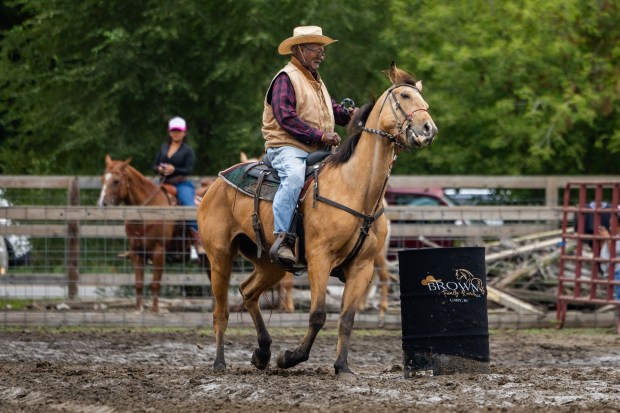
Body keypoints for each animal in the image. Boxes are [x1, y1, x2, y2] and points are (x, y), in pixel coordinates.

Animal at [95, 154, 205, 312]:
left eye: (116, 181)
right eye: (103, 179)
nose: (103, 204)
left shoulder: (158, 252)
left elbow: (155, 284)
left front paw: (155, 310)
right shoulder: (136, 252)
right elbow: (139, 284)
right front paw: (139, 309)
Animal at [197, 63, 436, 376]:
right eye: (405, 96)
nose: (429, 129)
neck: (355, 188)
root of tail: (215, 184)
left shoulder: (362, 266)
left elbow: (347, 318)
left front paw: (342, 366)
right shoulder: (320, 258)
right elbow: (318, 315)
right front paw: (290, 357)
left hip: (271, 264)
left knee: (248, 292)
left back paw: (262, 352)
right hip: (220, 256)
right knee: (220, 311)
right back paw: (220, 362)